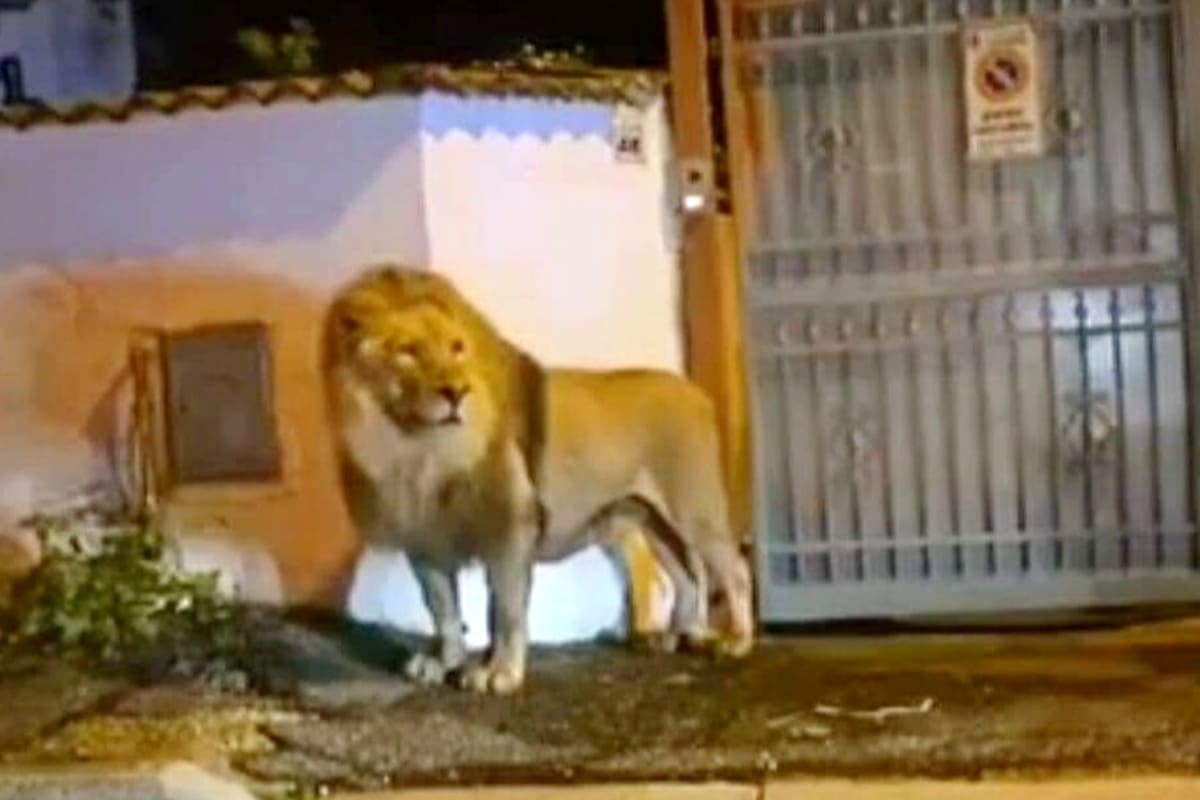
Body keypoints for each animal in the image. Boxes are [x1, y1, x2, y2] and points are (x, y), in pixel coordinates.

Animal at [323, 264, 754, 694]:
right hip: (651, 519)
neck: (416, 451)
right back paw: (677, 636)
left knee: (733, 570)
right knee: (687, 576)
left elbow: (504, 611)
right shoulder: (426, 545)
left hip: (694, 511)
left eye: (457, 347)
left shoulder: (509, 532)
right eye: (408, 351)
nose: (457, 392)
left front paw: (499, 672)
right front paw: (444, 662)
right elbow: (443, 611)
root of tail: (694, 390)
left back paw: (737, 641)